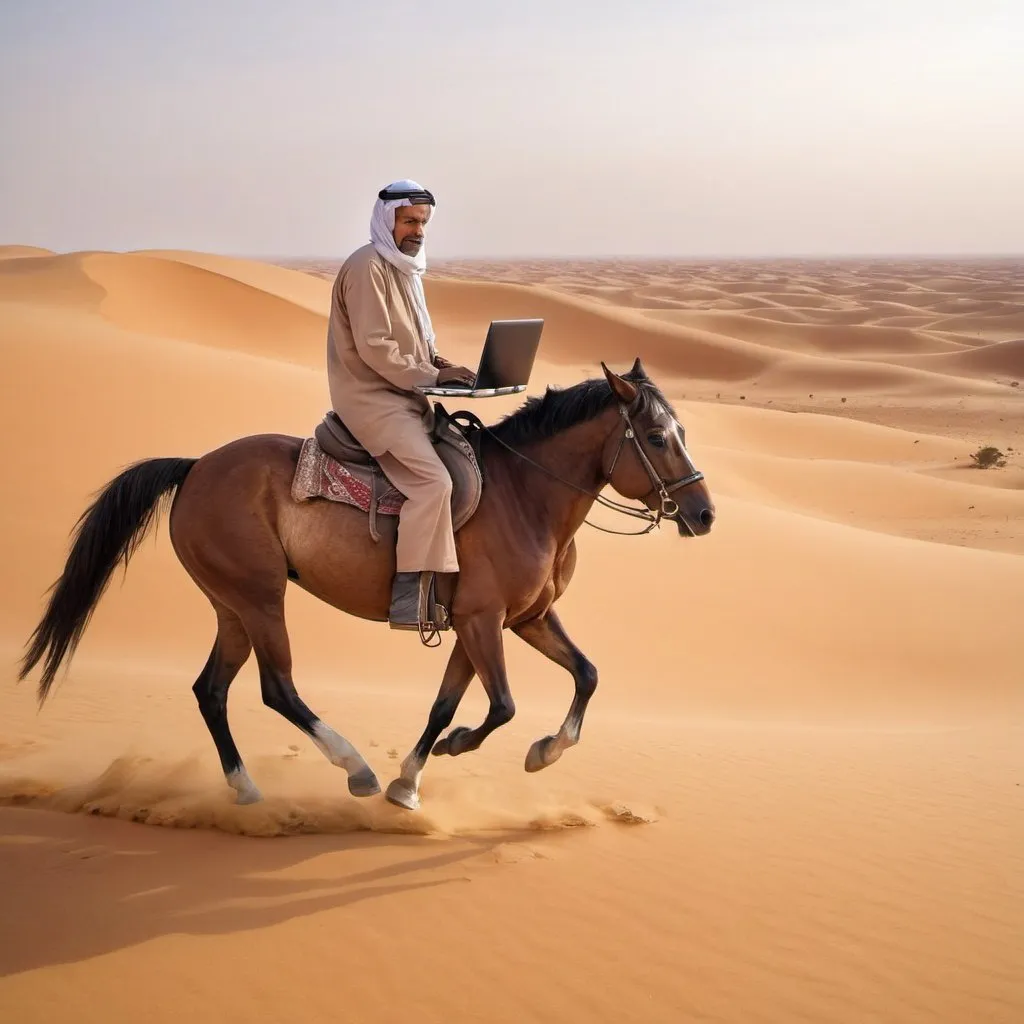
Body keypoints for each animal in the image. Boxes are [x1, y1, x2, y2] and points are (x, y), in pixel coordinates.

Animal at [19, 360, 716, 806]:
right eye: (658, 437)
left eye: (684, 432)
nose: (704, 513)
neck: (525, 496)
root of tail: (193, 468)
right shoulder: (485, 621)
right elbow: (499, 707)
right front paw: (454, 754)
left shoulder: (514, 620)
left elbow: (565, 679)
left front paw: (424, 777)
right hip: (260, 599)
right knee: (277, 688)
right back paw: (352, 768)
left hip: (232, 608)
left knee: (210, 691)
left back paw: (245, 788)